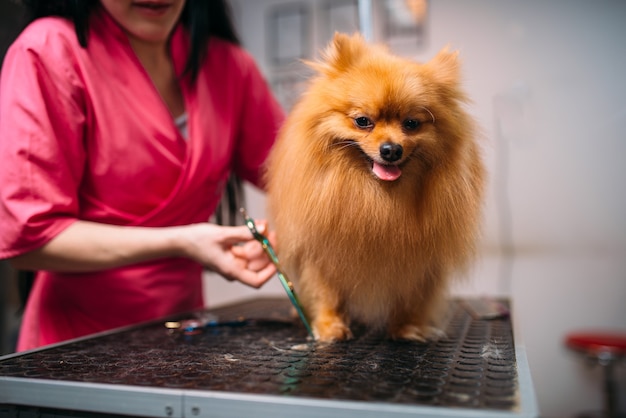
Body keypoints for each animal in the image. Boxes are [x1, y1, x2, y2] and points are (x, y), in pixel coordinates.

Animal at [264, 33, 482, 342]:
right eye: (363, 121)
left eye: (411, 123)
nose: (391, 149)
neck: (375, 198)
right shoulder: (320, 253)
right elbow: (326, 293)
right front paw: (329, 326)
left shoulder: (422, 263)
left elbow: (412, 297)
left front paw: (407, 327)